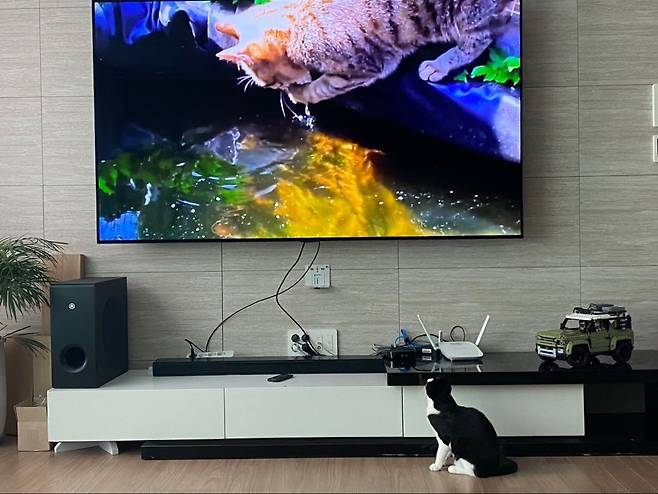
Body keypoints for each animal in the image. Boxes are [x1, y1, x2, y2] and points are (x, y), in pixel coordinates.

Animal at [215, 0, 518, 105]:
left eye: (273, 84)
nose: (278, 90)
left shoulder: (367, 67)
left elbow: (320, 88)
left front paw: (298, 94)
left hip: (465, 13)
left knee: (481, 39)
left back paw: (439, 64)